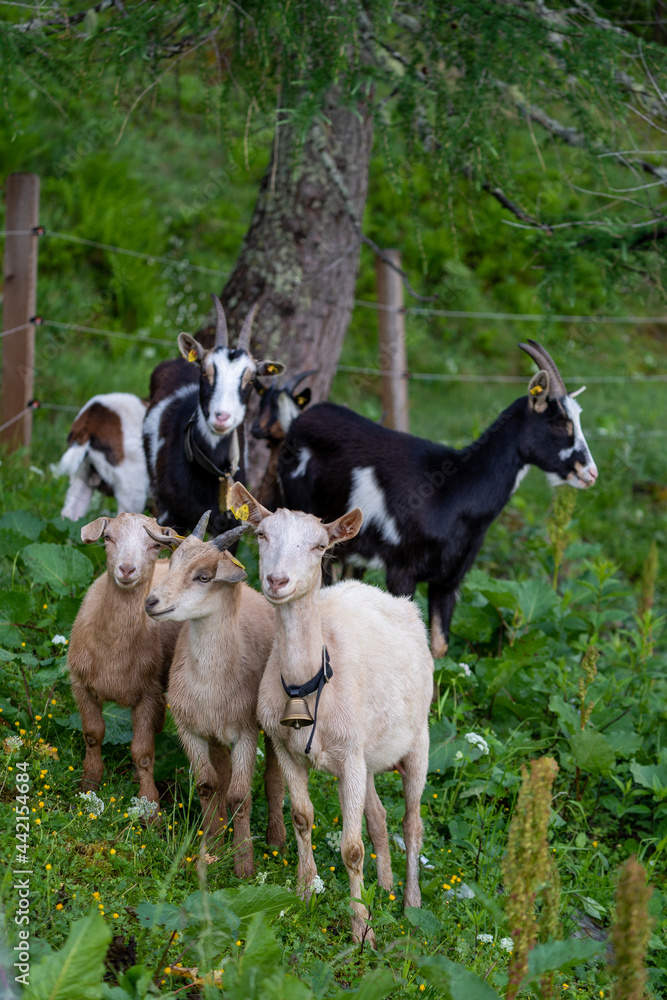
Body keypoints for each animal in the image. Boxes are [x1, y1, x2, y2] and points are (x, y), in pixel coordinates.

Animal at [68, 513, 182, 812]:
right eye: (108, 537)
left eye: (155, 545)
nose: (127, 569)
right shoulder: (80, 685)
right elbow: (93, 734)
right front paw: (88, 786)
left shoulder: (148, 694)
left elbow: (143, 752)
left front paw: (149, 807)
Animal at [143, 511, 286, 877]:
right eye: (172, 562)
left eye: (204, 577)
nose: (151, 602)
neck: (210, 685)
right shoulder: (190, 729)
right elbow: (208, 785)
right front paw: (211, 851)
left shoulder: (246, 732)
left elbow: (240, 795)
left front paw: (244, 865)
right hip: (216, 735)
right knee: (221, 777)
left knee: (273, 777)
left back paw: (277, 840)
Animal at [230, 482, 433, 946]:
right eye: (262, 535)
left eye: (320, 546)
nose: (277, 580)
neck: (308, 683)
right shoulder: (286, 747)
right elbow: (303, 818)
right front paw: (304, 896)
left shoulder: (352, 757)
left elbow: (352, 848)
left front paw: (362, 931)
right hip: (370, 753)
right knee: (378, 817)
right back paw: (386, 886)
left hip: (418, 739)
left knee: (411, 823)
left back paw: (411, 903)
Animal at [280, 341, 598, 659]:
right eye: (559, 423)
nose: (590, 473)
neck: (454, 490)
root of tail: (301, 419)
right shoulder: (402, 570)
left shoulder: (449, 580)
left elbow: (440, 646)